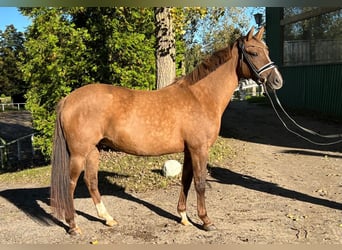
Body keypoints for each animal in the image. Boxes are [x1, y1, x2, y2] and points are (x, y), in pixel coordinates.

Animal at [49, 26, 282, 233]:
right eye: (253, 52)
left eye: (267, 50)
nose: (277, 80)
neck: (200, 97)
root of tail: (68, 99)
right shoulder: (199, 149)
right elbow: (200, 183)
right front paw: (206, 221)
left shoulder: (189, 150)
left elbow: (186, 180)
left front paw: (183, 216)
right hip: (79, 153)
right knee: (70, 184)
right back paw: (73, 226)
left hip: (93, 150)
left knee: (91, 181)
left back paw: (108, 219)